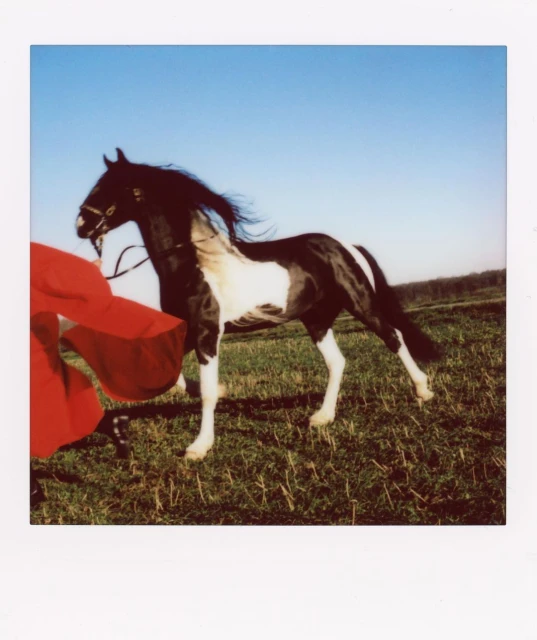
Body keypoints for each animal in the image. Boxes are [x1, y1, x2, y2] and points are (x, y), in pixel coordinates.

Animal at [76, 148, 441, 460]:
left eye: (110, 187)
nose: (81, 225)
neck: (194, 264)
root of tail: (345, 245)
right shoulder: (188, 332)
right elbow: (170, 376)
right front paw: (222, 391)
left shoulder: (207, 332)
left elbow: (205, 392)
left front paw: (199, 446)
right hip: (317, 320)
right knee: (337, 362)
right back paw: (322, 417)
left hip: (360, 302)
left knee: (393, 336)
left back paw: (423, 391)